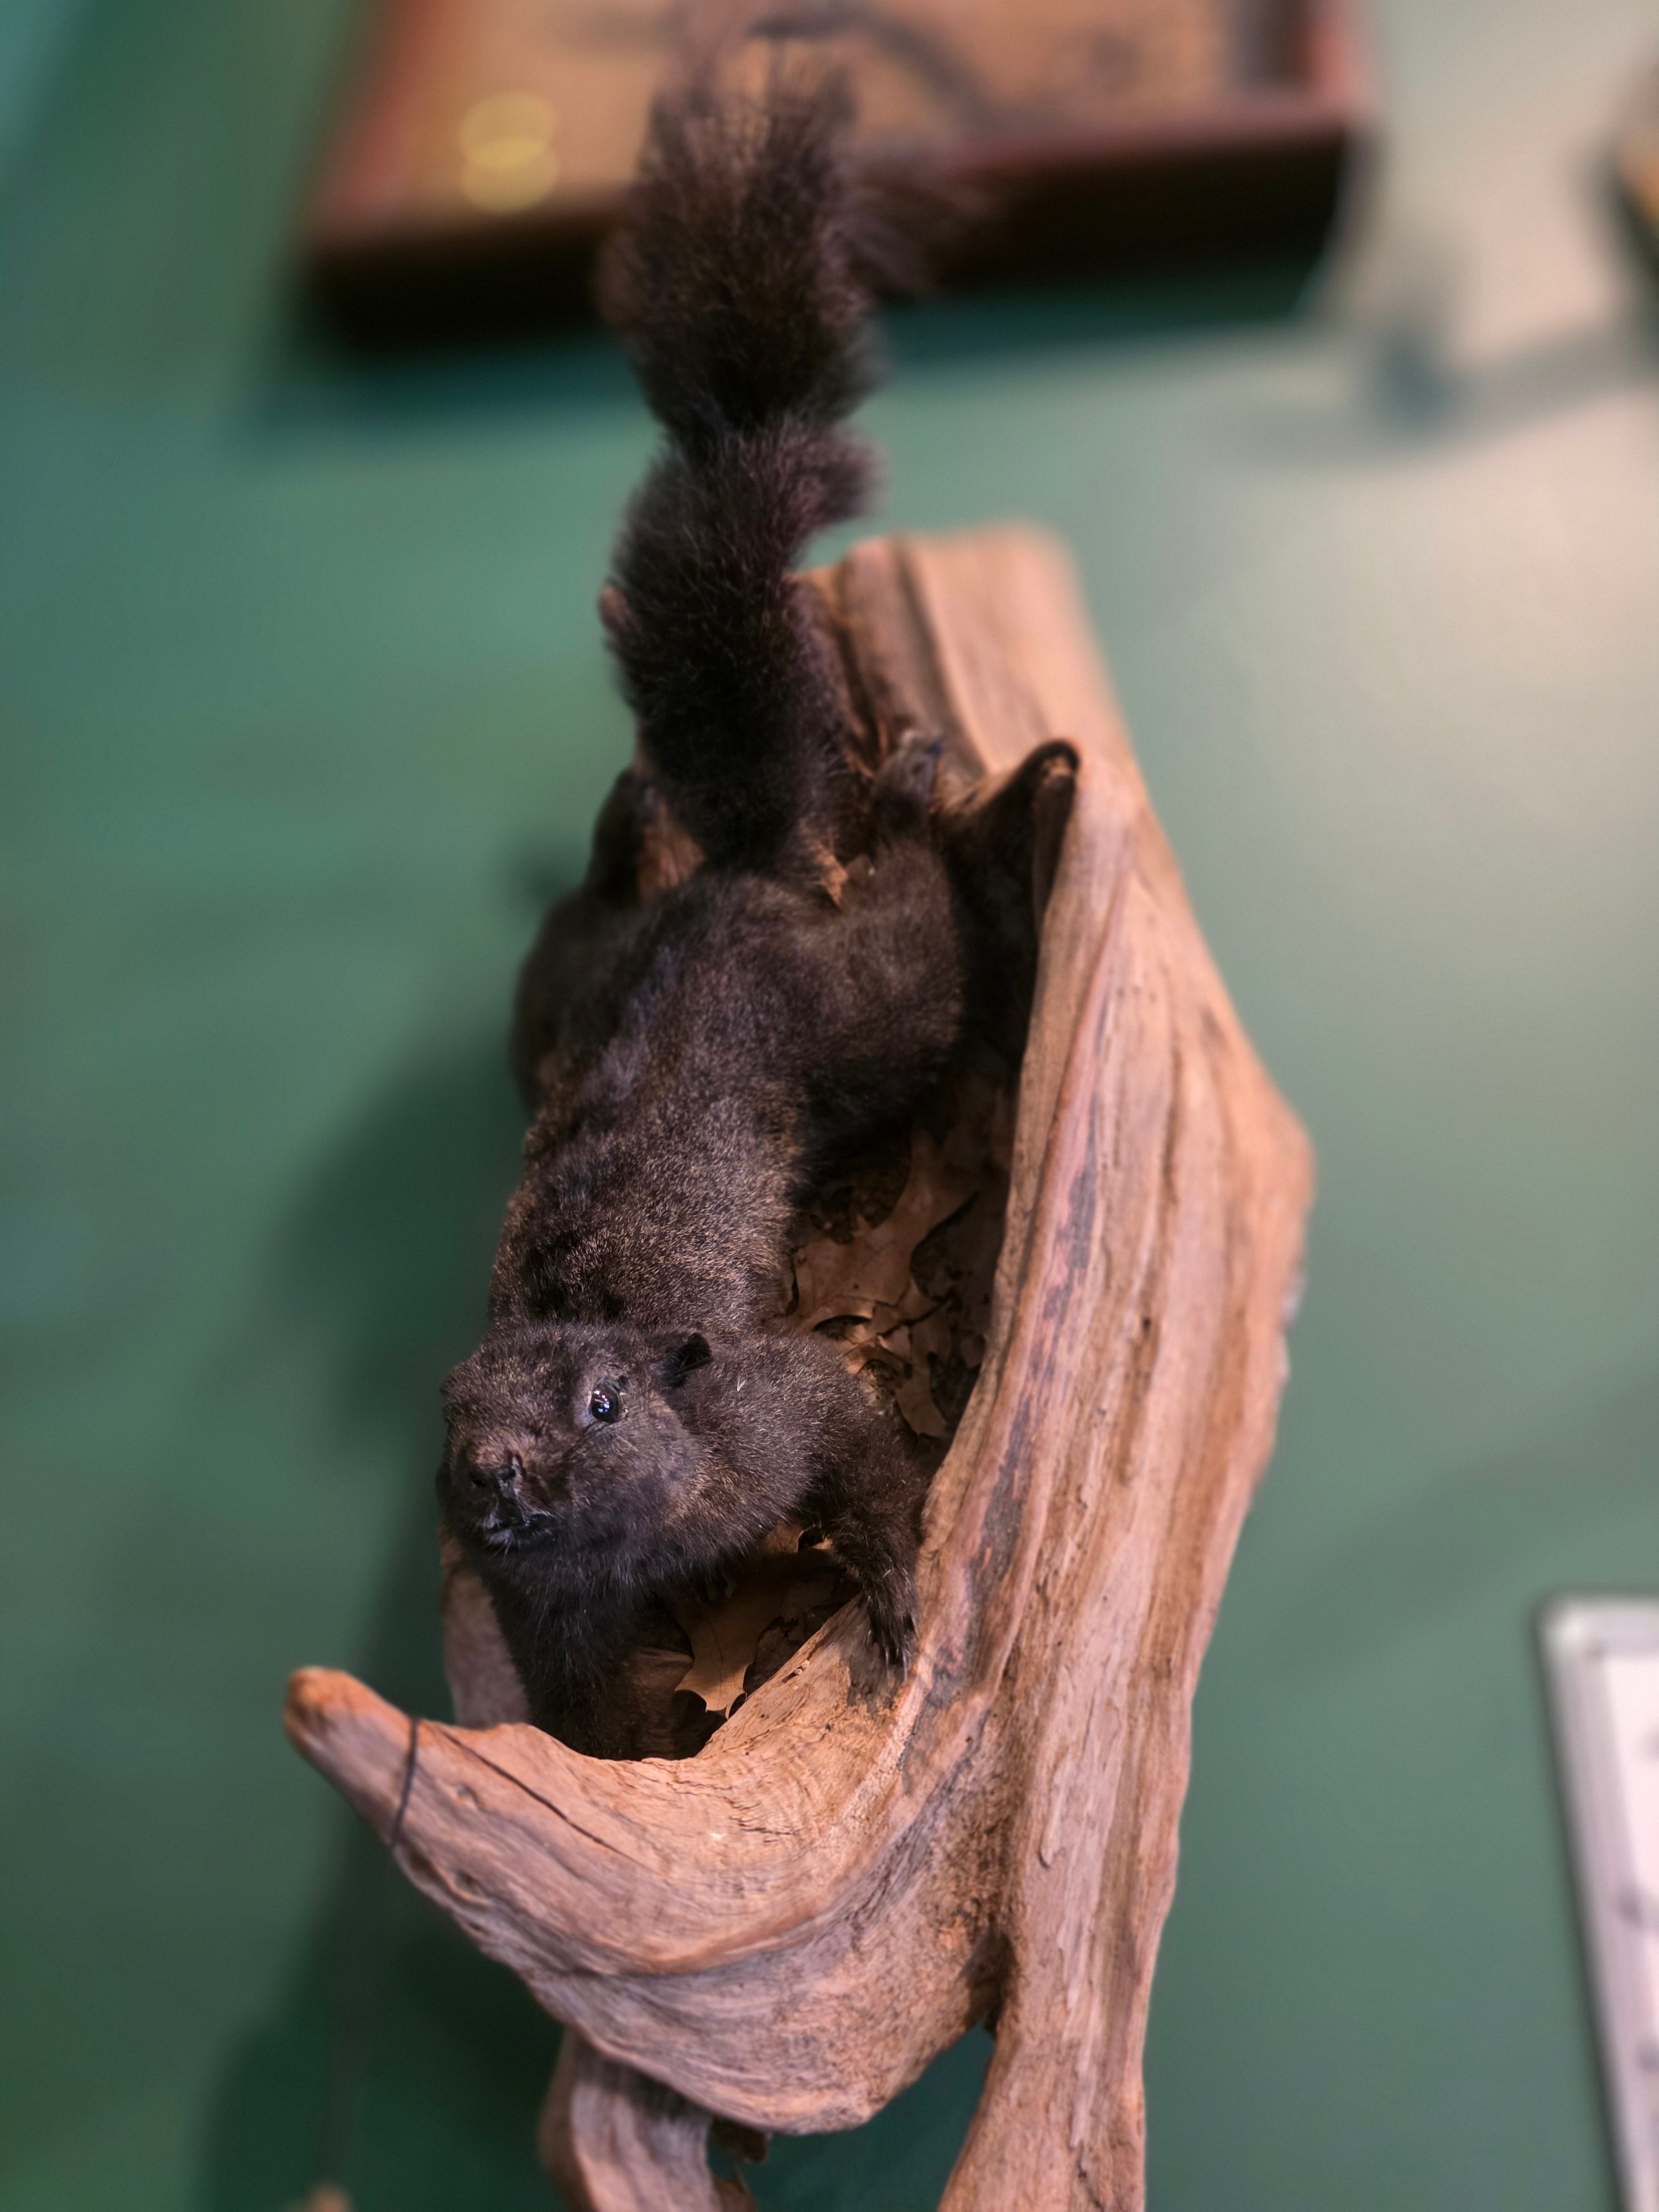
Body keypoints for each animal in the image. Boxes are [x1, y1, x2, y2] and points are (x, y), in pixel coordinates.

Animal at [436, 72, 1071, 1757]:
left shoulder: (780, 1410)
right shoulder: (549, 1612)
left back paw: (913, 791)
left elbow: (862, 1449)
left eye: (603, 1407)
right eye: (452, 1419)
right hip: (560, 993)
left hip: (883, 1004)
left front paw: (897, 1597)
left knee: (924, 919)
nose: (496, 1475)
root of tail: (739, 873)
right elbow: (581, 1706)